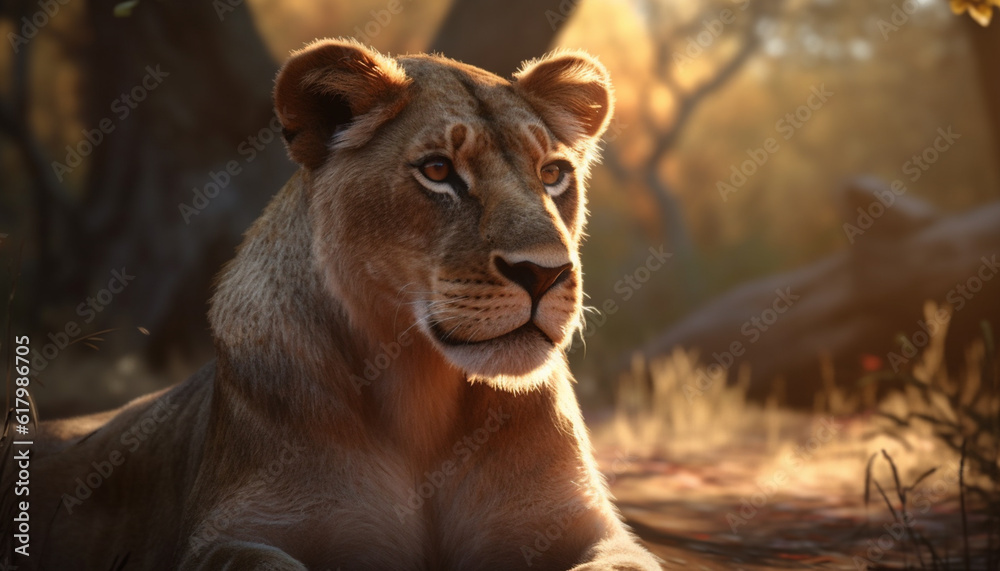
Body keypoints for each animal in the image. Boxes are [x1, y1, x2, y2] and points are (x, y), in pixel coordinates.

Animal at [12, 39, 661, 570]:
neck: (421, 395)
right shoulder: (239, 531)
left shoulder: (581, 527)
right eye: (438, 170)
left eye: (552, 174)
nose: (545, 273)